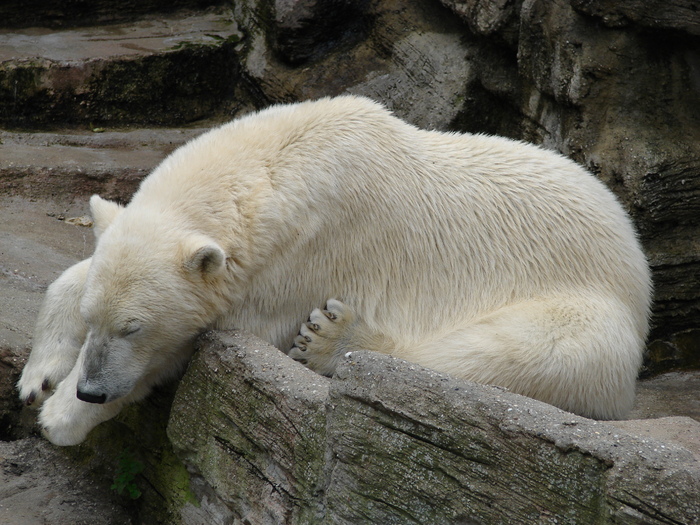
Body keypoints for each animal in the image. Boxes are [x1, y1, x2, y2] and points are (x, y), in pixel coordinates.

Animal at [17, 96, 652, 444]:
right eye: (96, 320)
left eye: (134, 328)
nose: (93, 388)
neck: (272, 166)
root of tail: (639, 265)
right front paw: (40, 374)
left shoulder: (306, 250)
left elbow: (198, 338)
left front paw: (62, 416)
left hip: (587, 304)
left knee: (526, 349)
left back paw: (335, 339)